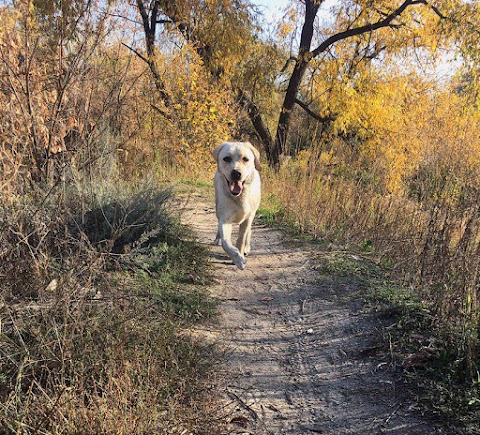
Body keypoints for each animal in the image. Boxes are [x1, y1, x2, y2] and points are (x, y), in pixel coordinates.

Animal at [212, 141, 260, 270]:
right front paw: (238, 259)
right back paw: (217, 238)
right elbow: (226, 243)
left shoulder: (248, 217)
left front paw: (240, 254)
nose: (236, 173)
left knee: (248, 232)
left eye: (245, 159)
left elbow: (241, 238)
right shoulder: (225, 219)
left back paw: (246, 248)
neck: (239, 197)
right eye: (226, 158)